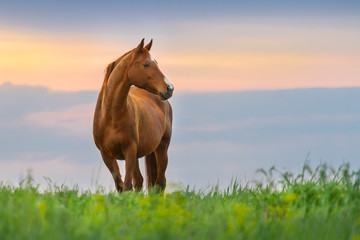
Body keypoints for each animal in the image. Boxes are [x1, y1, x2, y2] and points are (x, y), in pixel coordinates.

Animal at [93, 39, 174, 193]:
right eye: (146, 64)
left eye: (156, 63)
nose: (169, 88)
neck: (112, 116)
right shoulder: (106, 155)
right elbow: (121, 185)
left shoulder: (129, 150)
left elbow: (127, 184)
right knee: (140, 181)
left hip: (162, 148)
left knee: (160, 183)